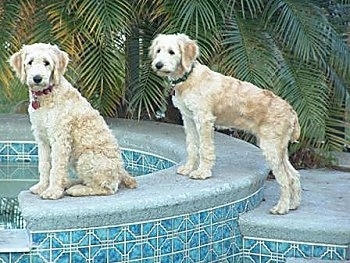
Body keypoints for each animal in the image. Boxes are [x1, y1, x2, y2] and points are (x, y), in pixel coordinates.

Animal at [8, 43, 136, 200]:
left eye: (47, 63)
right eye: (30, 62)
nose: (37, 78)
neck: (46, 95)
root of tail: (121, 171)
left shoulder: (60, 138)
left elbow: (56, 167)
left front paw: (53, 191)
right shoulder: (42, 138)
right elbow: (44, 165)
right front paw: (42, 187)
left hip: (87, 158)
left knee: (107, 188)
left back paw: (76, 189)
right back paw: (69, 183)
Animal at [150, 33, 300, 214]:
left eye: (172, 52)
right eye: (158, 50)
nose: (158, 65)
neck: (189, 78)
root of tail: (291, 111)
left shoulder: (204, 120)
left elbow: (205, 149)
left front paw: (202, 172)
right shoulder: (188, 119)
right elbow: (192, 147)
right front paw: (188, 168)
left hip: (271, 147)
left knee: (285, 178)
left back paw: (281, 207)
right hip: (280, 149)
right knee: (294, 175)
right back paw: (293, 204)